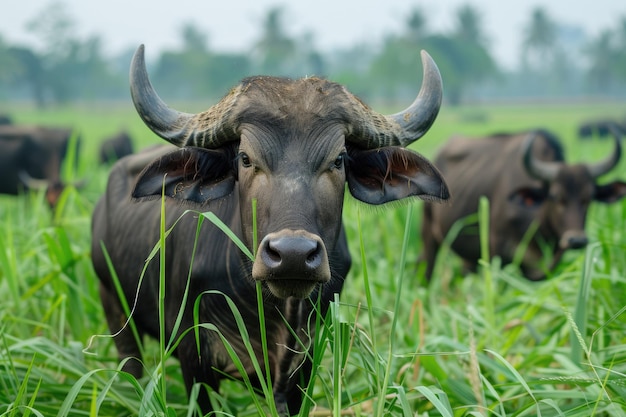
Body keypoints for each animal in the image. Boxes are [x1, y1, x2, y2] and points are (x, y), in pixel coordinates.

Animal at [90, 44, 446, 414]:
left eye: (338, 160)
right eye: (246, 159)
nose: (293, 255)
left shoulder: (304, 362)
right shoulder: (193, 358)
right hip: (115, 310)